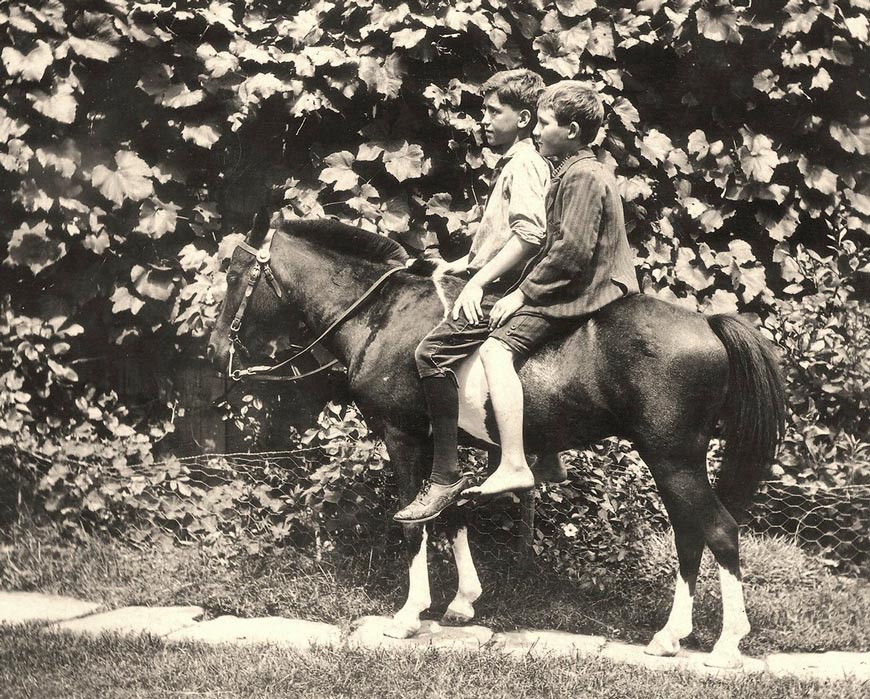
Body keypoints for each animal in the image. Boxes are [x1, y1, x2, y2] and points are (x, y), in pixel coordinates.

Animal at [209, 219, 792, 672]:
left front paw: (408, 616)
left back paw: (726, 646)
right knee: (690, 536)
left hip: (673, 458)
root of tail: (708, 323)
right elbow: (449, 511)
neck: (384, 316)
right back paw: (670, 638)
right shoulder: (442, 447)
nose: (215, 351)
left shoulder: (403, 436)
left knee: (719, 531)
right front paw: (463, 603)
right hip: (672, 461)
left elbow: (416, 520)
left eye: (235, 277)